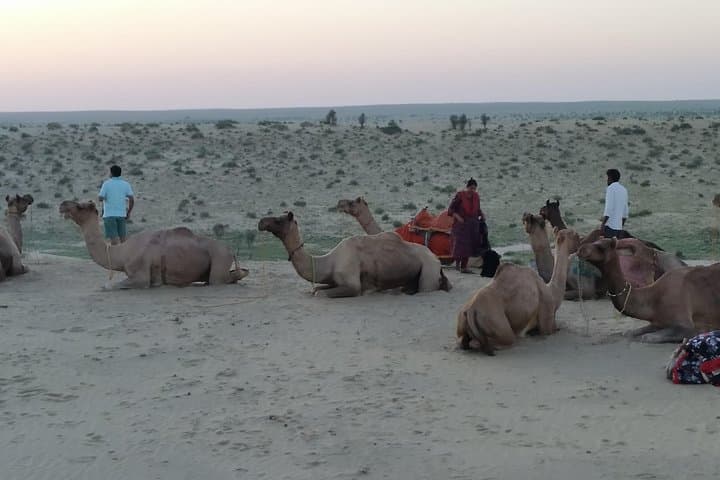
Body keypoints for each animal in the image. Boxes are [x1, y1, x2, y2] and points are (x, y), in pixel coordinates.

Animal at [59, 200, 248, 289]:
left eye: (80, 206)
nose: (62, 204)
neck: (121, 253)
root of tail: (231, 250)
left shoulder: (141, 275)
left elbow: (108, 286)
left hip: (219, 260)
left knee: (221, 279)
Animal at [258, 211, 451, 297]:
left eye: (278, 220)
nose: (261, 222)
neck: (329, 261)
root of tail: (436, 258)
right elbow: (316, 289)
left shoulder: (352, 284)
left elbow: (320, 294)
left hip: (429, 271)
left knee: (426, 288)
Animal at [579, 238, 720, 343]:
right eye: (594, 241)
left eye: (601, 247)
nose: (581, 249)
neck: (654, 297)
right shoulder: (657, 322)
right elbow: (629, 333)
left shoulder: (686, 325)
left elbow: (647, 337)